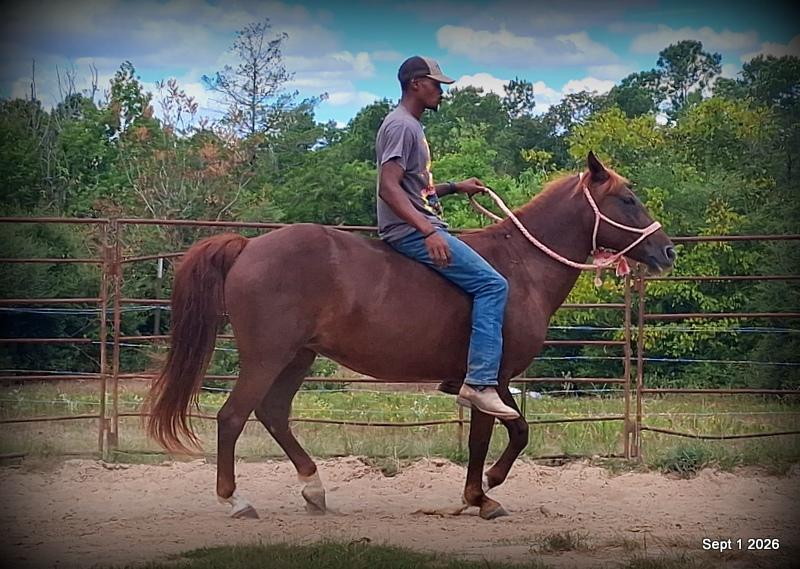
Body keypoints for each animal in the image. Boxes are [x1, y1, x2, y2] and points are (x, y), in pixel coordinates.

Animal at [146, 152, 675, 520]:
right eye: (627, 199)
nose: (667, 250)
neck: (521, 265)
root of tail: (248, 246)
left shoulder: (490, 381)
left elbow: (512, 432)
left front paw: (484, 489)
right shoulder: (490, 380)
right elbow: (495, 436)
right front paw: (482, 494)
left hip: (298, 357)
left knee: (273, 414)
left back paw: (314, 489)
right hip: (266, 355)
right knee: (233, 417)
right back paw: (235, 501)